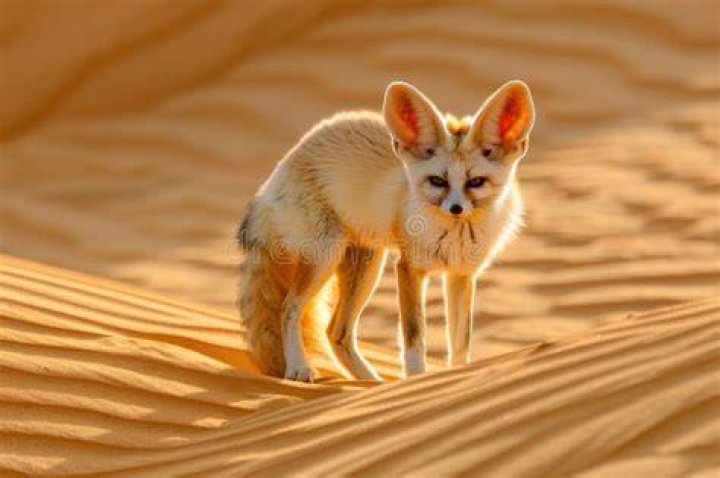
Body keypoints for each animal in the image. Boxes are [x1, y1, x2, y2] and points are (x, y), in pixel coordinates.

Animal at [238, 80, 535, 382]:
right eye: (437, 181)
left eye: (476, 182)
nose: (455, 209)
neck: (455, 237)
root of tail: (279, 170)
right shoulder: (409, 268)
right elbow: (414, 339)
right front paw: (417, 382)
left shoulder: (461, 274)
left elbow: (460, 345)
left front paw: (457, 378)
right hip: (327, 258)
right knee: (288, 308)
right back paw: (298, 368)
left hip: (367, 265)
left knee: (336, 333)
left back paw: (372, 383)